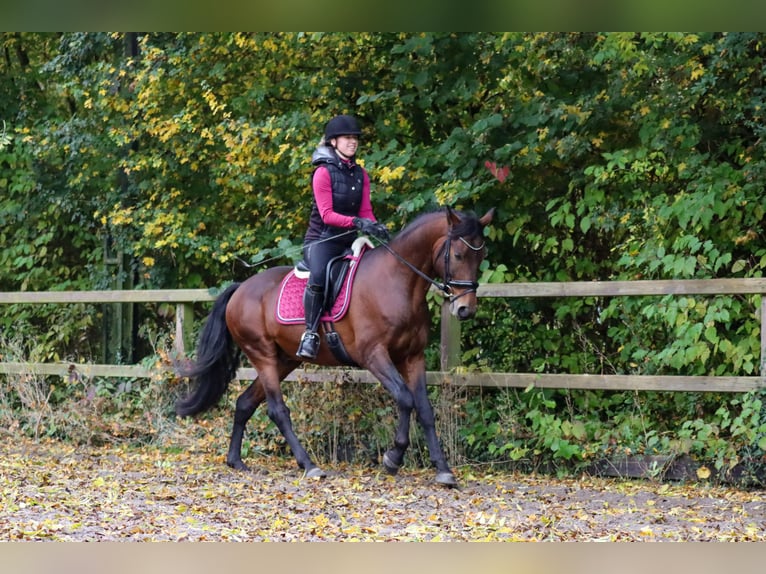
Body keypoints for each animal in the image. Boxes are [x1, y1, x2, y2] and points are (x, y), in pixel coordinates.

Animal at [176, 205, 496, 488]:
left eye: (481, 256)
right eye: (458, 254)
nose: (466, 310)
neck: (398, 282)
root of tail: (240, 289)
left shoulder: (412, 357)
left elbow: (425, 409)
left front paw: (443, 470)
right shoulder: (373, 356)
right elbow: (405, 399)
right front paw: (393, 457)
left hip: (285, 360)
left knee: (245, 403)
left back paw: (235, 460)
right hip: (262, 355)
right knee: (278, 410)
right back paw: (309, 465)